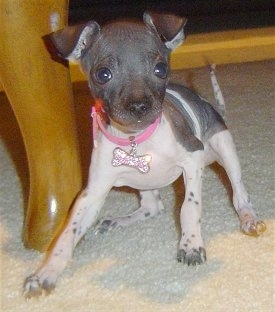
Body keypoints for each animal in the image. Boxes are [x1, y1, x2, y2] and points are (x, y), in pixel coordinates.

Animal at [24, 11, 268, 294]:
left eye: (160, 69)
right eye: (103, 74)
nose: (139, 106)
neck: (137, 140)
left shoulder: (192, 159)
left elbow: (189, 207)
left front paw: (191, 244)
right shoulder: (92, 193)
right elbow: (66, 234)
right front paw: (46, 271)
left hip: (224, 146)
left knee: (239, 195)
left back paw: (249, 219)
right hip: (140, 182)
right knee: (153, 207)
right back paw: (120, 220)